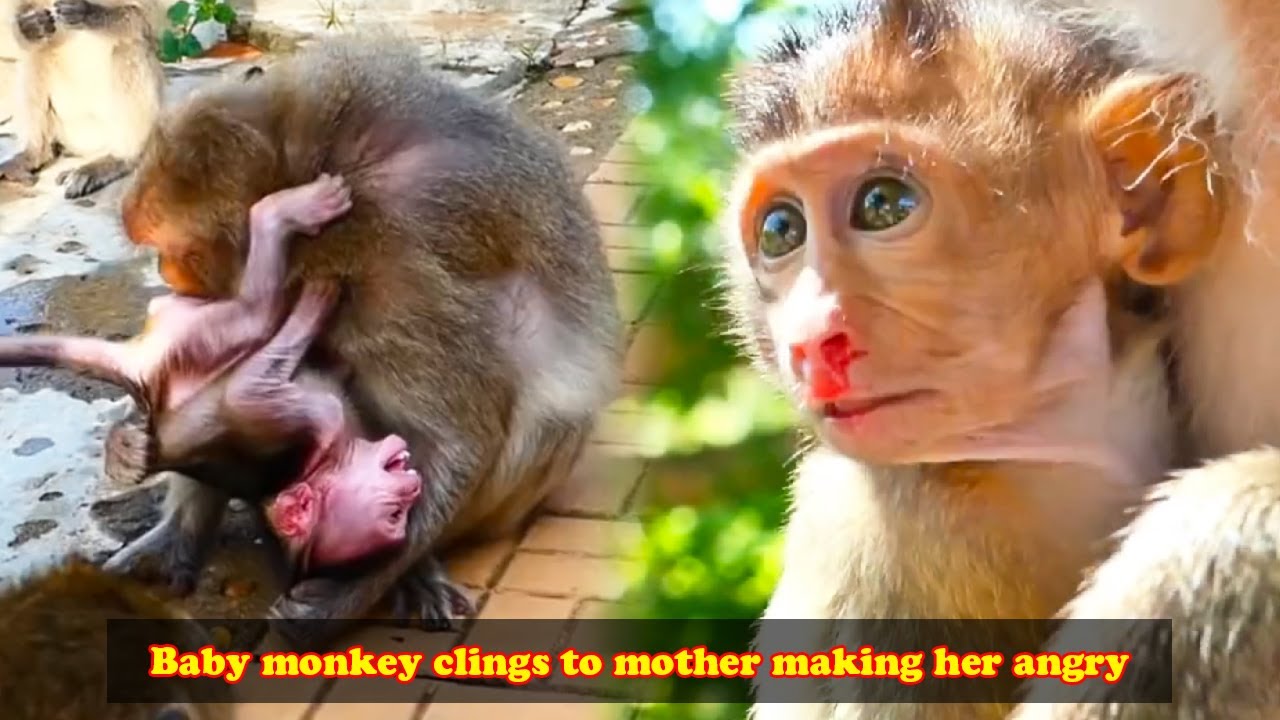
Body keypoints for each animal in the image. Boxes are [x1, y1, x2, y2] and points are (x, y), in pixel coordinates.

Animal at [0, 0, 163, 199]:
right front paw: (29, 27)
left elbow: (147, 21)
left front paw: (88, 13)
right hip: (65, 127)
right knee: (35, 52)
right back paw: (35, 153)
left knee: (128, 48)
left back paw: (121, 159)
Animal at [0, 173, 424, 581]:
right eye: (393, 514)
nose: (412, 483)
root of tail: (142, 373)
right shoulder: (302, 430)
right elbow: (250, 394)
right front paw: (317, 302)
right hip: (199, 339)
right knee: (257, 312)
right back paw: (287, 213)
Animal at [113, 32, 622, 649]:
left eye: (179, 253)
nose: (168, 277)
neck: (308, 165)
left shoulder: (384, 262)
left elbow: (461, 438)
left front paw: (345, 594)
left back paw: (412, 568)